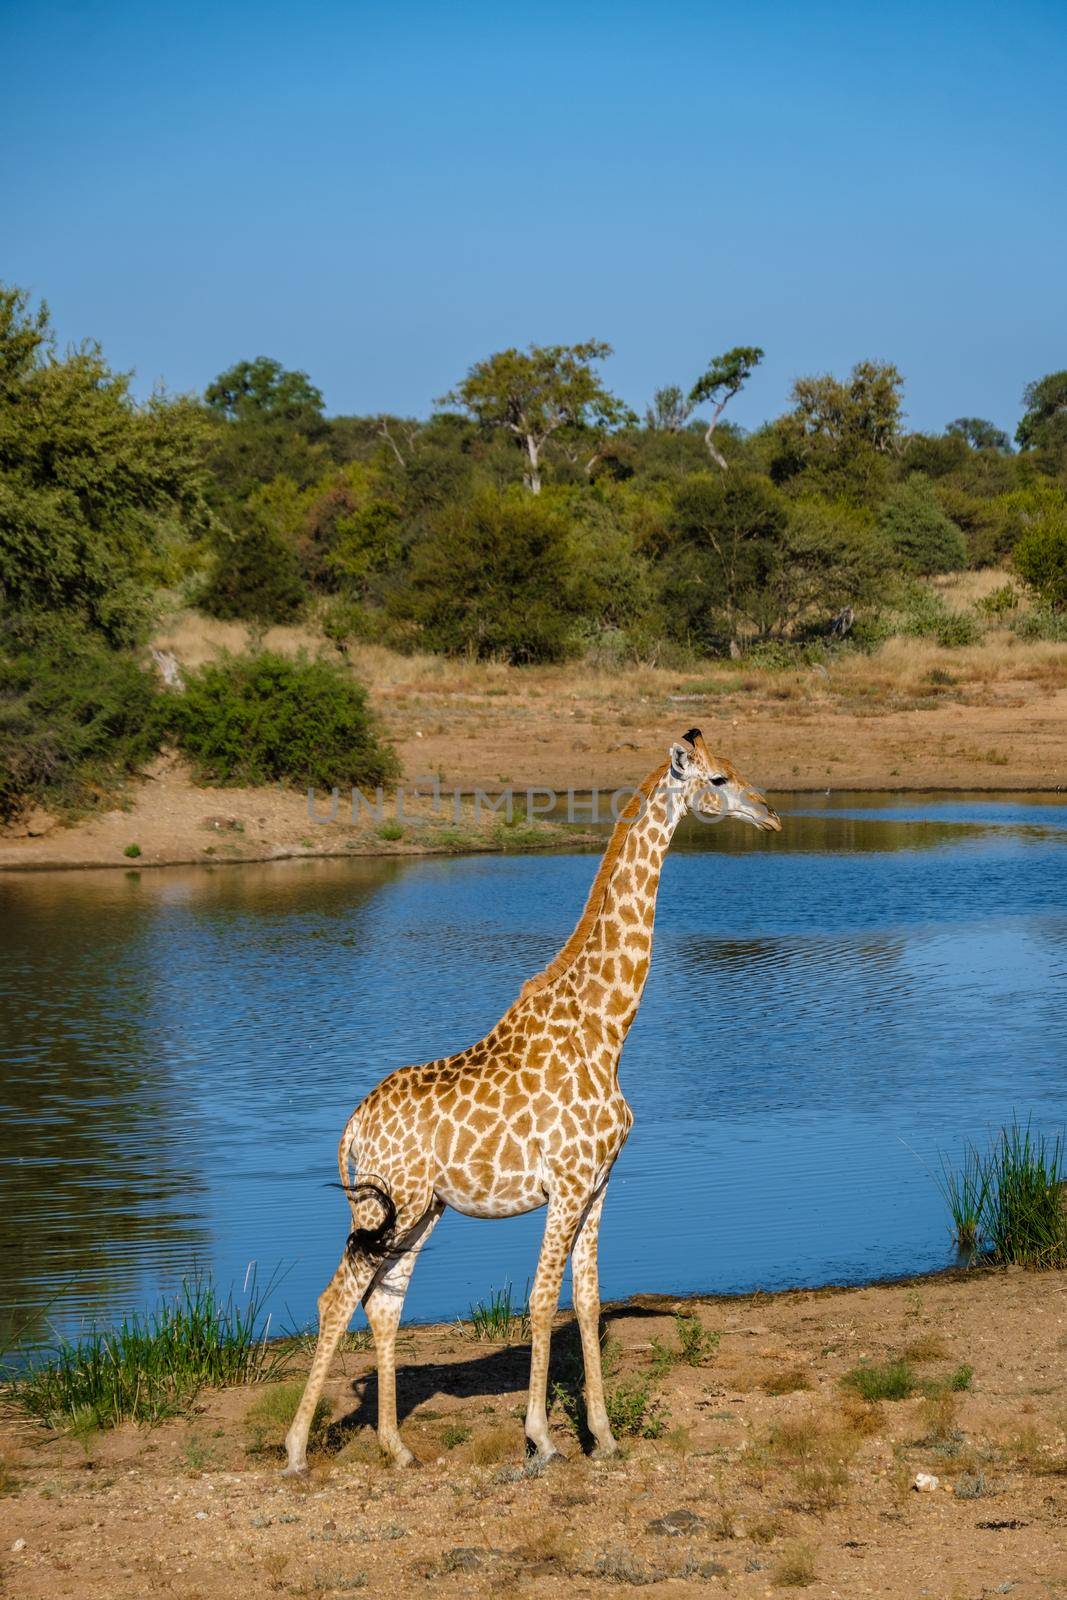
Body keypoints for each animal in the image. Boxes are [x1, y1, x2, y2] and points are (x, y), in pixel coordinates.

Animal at [287, 729, 780, 1472]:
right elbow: (542, 1299)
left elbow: (588, 1300)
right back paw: (294, 1450)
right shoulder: (568, 1183)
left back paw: (398, 1448)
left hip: (420, 1209)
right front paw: (542, 1439)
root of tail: (350, 1128)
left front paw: (603, 1436)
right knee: (336, 1296)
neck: (607, 1028)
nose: (770, 814)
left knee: (384, 1302)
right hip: (386, 1200)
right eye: (718, 779)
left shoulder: (600, 1183)